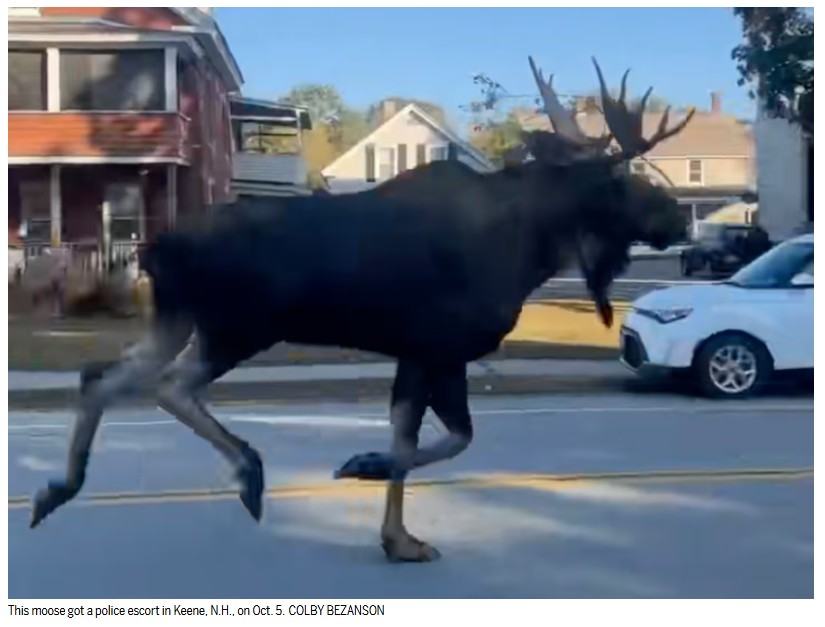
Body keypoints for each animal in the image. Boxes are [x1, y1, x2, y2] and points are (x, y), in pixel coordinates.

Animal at [30, 56, 694, 564]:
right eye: (622, 180)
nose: (674, 217)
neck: (532, 249)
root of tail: (154, 249)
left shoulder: (413, 353)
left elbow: (411, 434)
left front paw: (397, 537)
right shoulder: (440, 349)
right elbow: (451, 440)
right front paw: (363, 465)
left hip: (179, 319)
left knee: (100, 376)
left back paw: (58, 489)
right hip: (237, 326)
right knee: (169, 386)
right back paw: (248, 472)